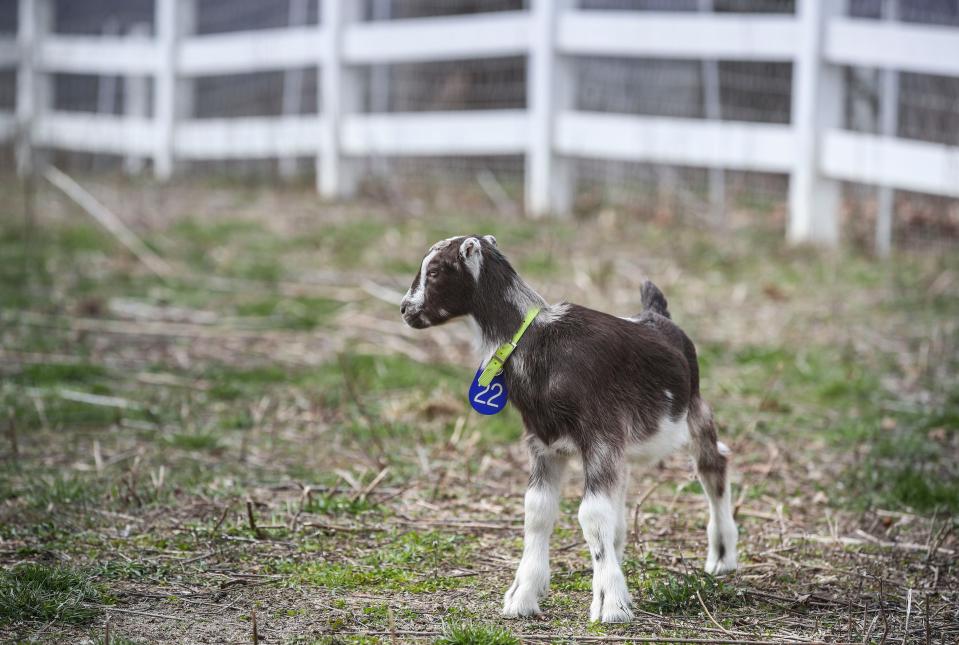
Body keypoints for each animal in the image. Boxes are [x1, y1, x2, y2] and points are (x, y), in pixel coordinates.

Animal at [402, 234, 740, 620]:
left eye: (435, 271)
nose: (405, 309)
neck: (539, 343)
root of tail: (657, 315)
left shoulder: (599, 437)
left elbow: (591, 515)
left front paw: (610, 605)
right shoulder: (543, 443)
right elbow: (537, 510)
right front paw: (522, 597)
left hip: (694, 411)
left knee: (713, 464)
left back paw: (722, 557)